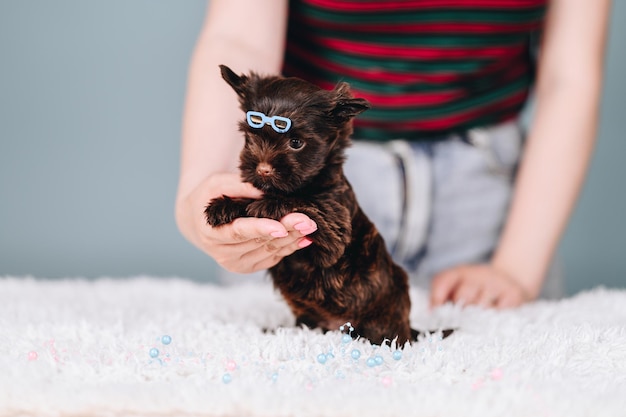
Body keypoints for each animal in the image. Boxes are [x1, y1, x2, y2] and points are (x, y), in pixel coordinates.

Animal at [206, 65, 414, 344]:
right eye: (251, 137)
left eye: (296, 143)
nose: (262, 170)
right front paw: (224, 206)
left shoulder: (334, 226)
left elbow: (300, 200)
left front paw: (267, 205)